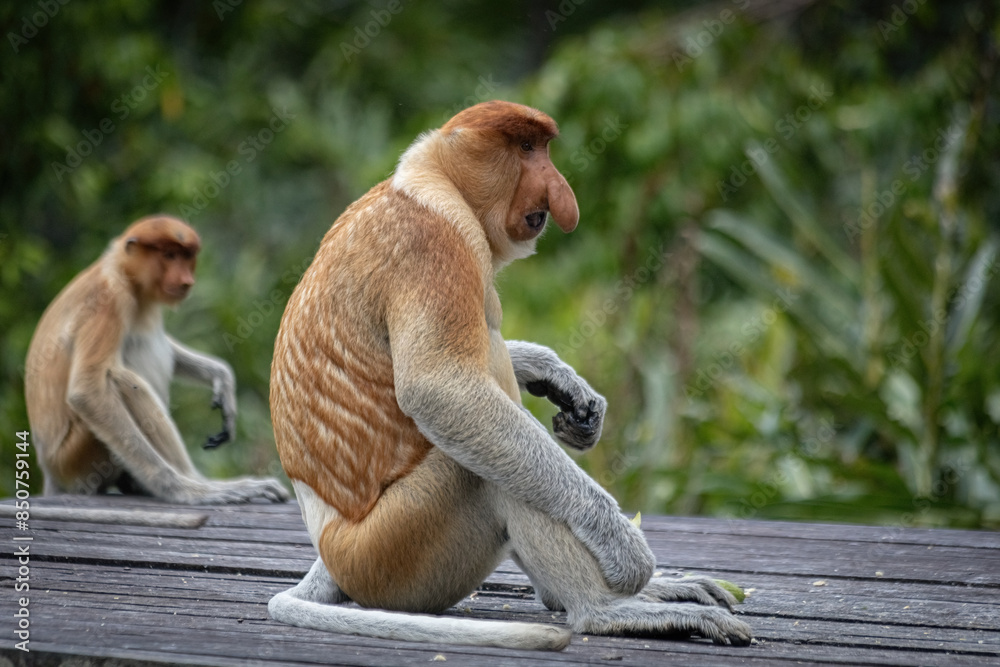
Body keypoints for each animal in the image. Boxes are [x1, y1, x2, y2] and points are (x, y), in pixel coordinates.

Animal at [24, 215, 289, 505]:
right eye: (169, 255)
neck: (123, 273)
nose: (186, 280)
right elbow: (87, 391)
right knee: (122, 380)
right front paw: (185, 489)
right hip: (75, 460)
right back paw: (198, 483)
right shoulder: (108, 301)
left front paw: (222, 379)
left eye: (187, 256)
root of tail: (51, 473)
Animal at [268, 101, 751, 650]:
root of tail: (328, 543)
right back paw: (607, 610)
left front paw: (564, 385)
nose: (561, 195)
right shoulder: (434, 244)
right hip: (390, 552)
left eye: (542, 149)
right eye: (525, 149)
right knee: (486, 472)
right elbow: (441, 390)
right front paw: (624, 546)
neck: (431, 177)